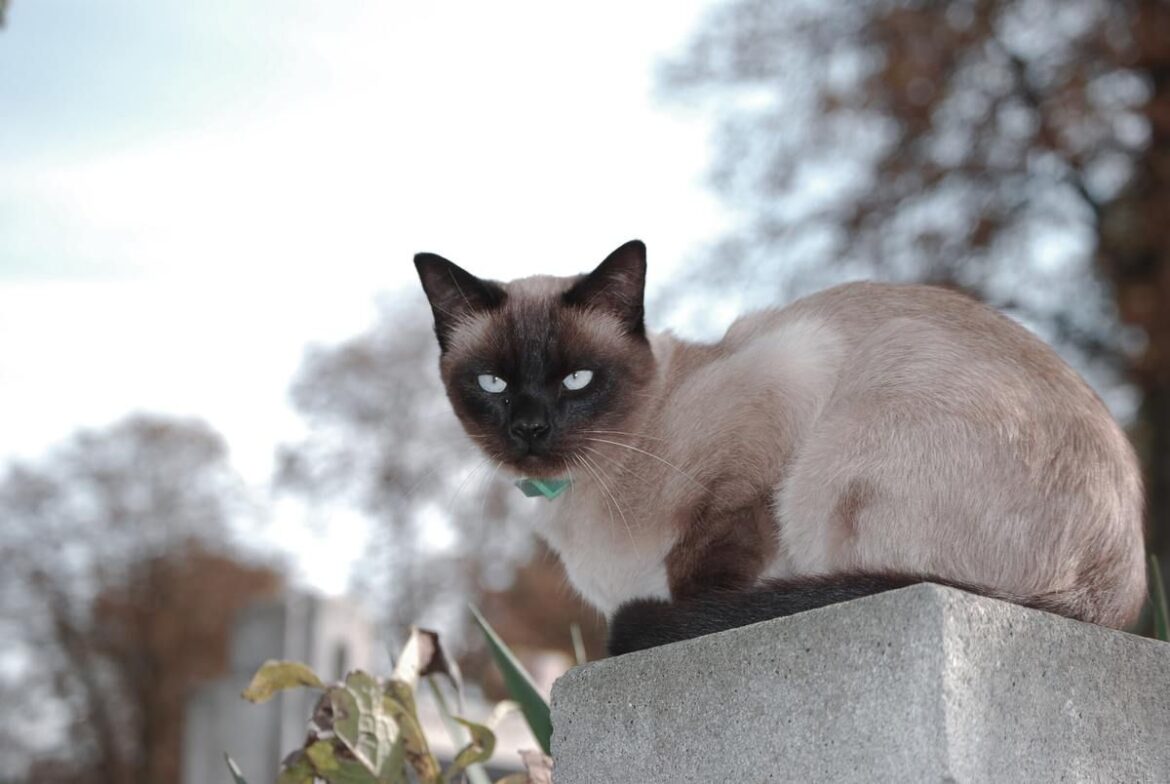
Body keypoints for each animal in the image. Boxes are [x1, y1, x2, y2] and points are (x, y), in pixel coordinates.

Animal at [416, 241, 1146, 655]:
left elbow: (708, 554)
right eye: (491, 383)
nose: (530, 429)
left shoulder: (782, 377)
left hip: (842, 455)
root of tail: (1107, 608)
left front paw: (692, 616)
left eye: (577, 380)